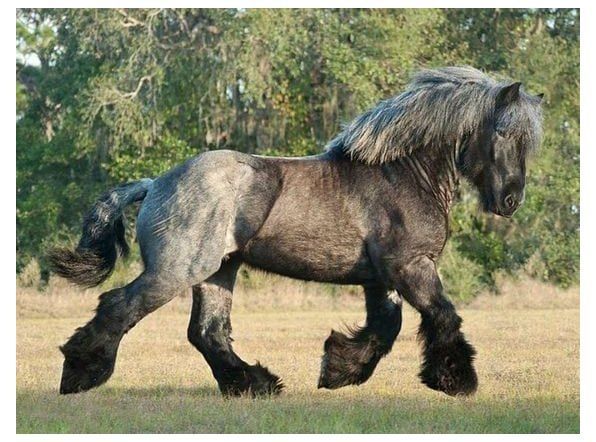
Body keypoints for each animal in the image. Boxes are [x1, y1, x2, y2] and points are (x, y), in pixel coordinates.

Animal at [49, 65, 544, 398]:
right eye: (503, 132)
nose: (510, 200)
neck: (402, 173)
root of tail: (155, 183)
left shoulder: (382, 278)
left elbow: (386, 328)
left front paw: (338, 370)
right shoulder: (411, 267)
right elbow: (441, 315)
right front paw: (456, 380)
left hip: (218, 272)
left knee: (207, 332)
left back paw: (256, 384)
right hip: (177, 270)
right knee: (121, 306)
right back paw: (79, 374)